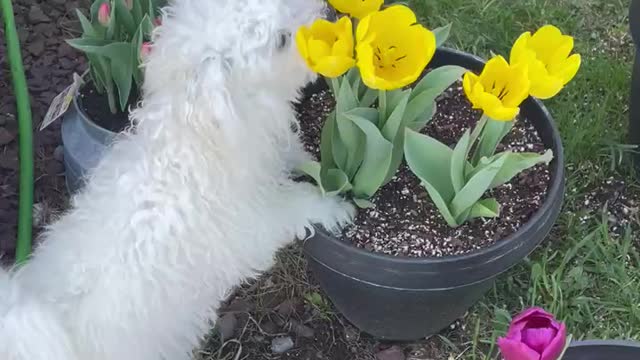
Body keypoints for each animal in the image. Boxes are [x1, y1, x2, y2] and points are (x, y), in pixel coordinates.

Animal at [0, 0, 352, 358]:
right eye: (281, 40)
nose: (330, 15)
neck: (198, 139)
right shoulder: (258, 219)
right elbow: (301, 204)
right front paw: (336, 208)